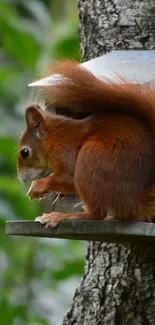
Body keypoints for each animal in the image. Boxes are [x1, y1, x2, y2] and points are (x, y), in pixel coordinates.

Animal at [17, 62, 155, 227]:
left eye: (24, 152)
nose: (21, 179)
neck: (55, 139)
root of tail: (134, 200)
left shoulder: (65, 151)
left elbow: (68, 178)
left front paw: (39, 185)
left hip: (90, 160)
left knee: (97, 214)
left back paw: (62, 216)